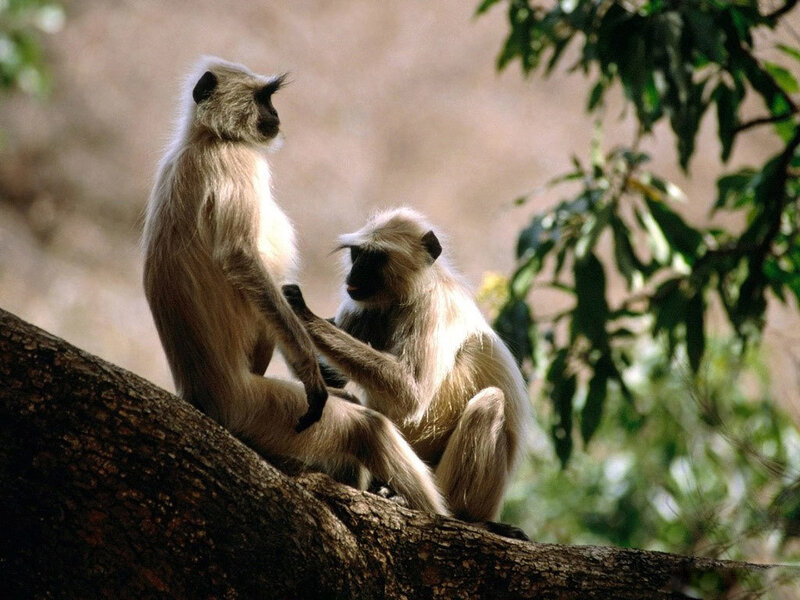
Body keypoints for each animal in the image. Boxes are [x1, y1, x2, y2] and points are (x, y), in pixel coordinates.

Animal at [142, 57, 448, 516]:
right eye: (263, 97)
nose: (275, 115)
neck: (206, 140)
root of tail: (201, 397)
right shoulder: (236, 162)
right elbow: (240, 258)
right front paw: (310, 372)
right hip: (257, 409)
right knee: (366, 428)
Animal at [282, 207, 530, 525]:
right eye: (356, 254)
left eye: (374, 258)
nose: (354, 273)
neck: (406, 296)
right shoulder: (363, 307)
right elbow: (331, 379)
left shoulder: (434, 307)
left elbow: (411, 394)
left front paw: (303, 313)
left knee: (489, 402)